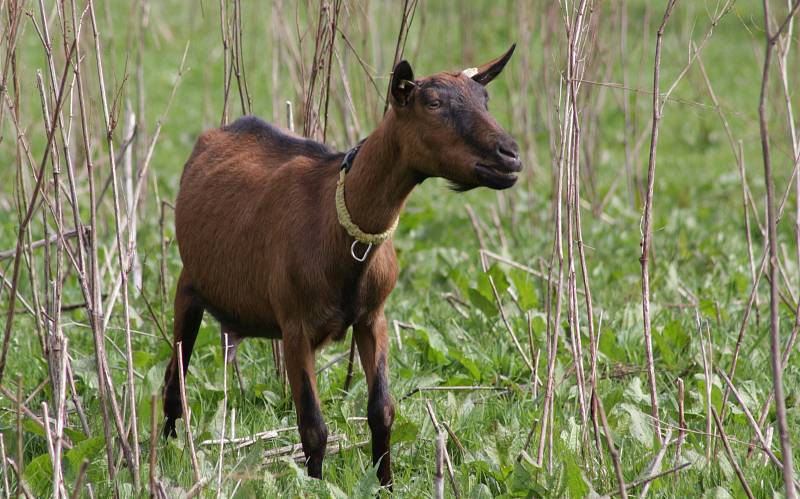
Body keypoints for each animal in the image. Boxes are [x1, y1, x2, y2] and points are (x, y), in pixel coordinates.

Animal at [164, 45, 524, 486]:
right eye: (433, 104)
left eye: (484, 99)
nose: (510, 155)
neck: (337, 225)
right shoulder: (295, 327)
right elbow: (313, 427)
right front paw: (315, 486)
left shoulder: (373, 318)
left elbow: (382, 411)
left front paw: (386, 483)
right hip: (188, 288)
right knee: (173, 385)